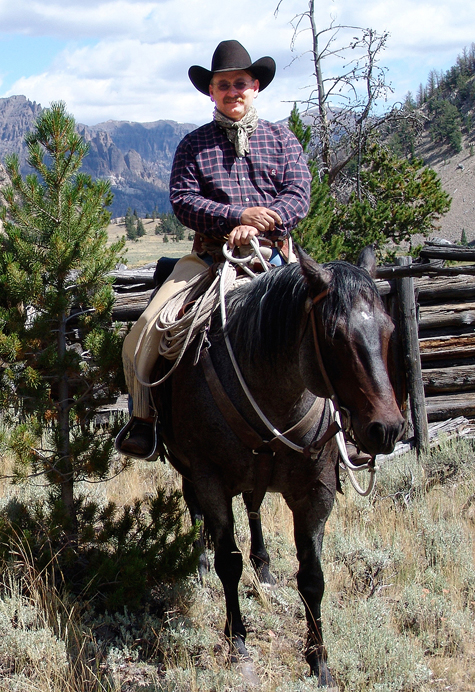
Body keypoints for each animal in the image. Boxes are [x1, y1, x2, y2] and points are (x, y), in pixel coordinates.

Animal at [152, 249, 406, 688]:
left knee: (253, 506)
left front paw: (319, 663)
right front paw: (237, 642)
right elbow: (228, 562)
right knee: (196, 511)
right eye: (334, 335)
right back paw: (200, 565)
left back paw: (265, 567)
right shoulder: (208, 477)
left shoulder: (316, 491)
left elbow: (312, 578)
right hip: (187, 468)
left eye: (389, 328)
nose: (386, 429)